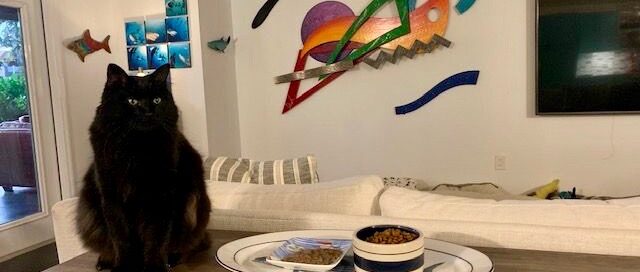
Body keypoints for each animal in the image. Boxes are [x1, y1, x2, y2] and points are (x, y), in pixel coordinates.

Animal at [75, 64, 210, 272]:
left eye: (156, 100)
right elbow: (120, 238)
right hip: (89, 206)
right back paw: (106, 260)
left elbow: (156, 238)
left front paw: (154, 267)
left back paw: (172, 258)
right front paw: (123, 266)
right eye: (132, 101)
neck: (136, 148)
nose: (147, 112)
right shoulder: (112, 198)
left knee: (186, 244)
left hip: (193, 202)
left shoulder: (160, 196)